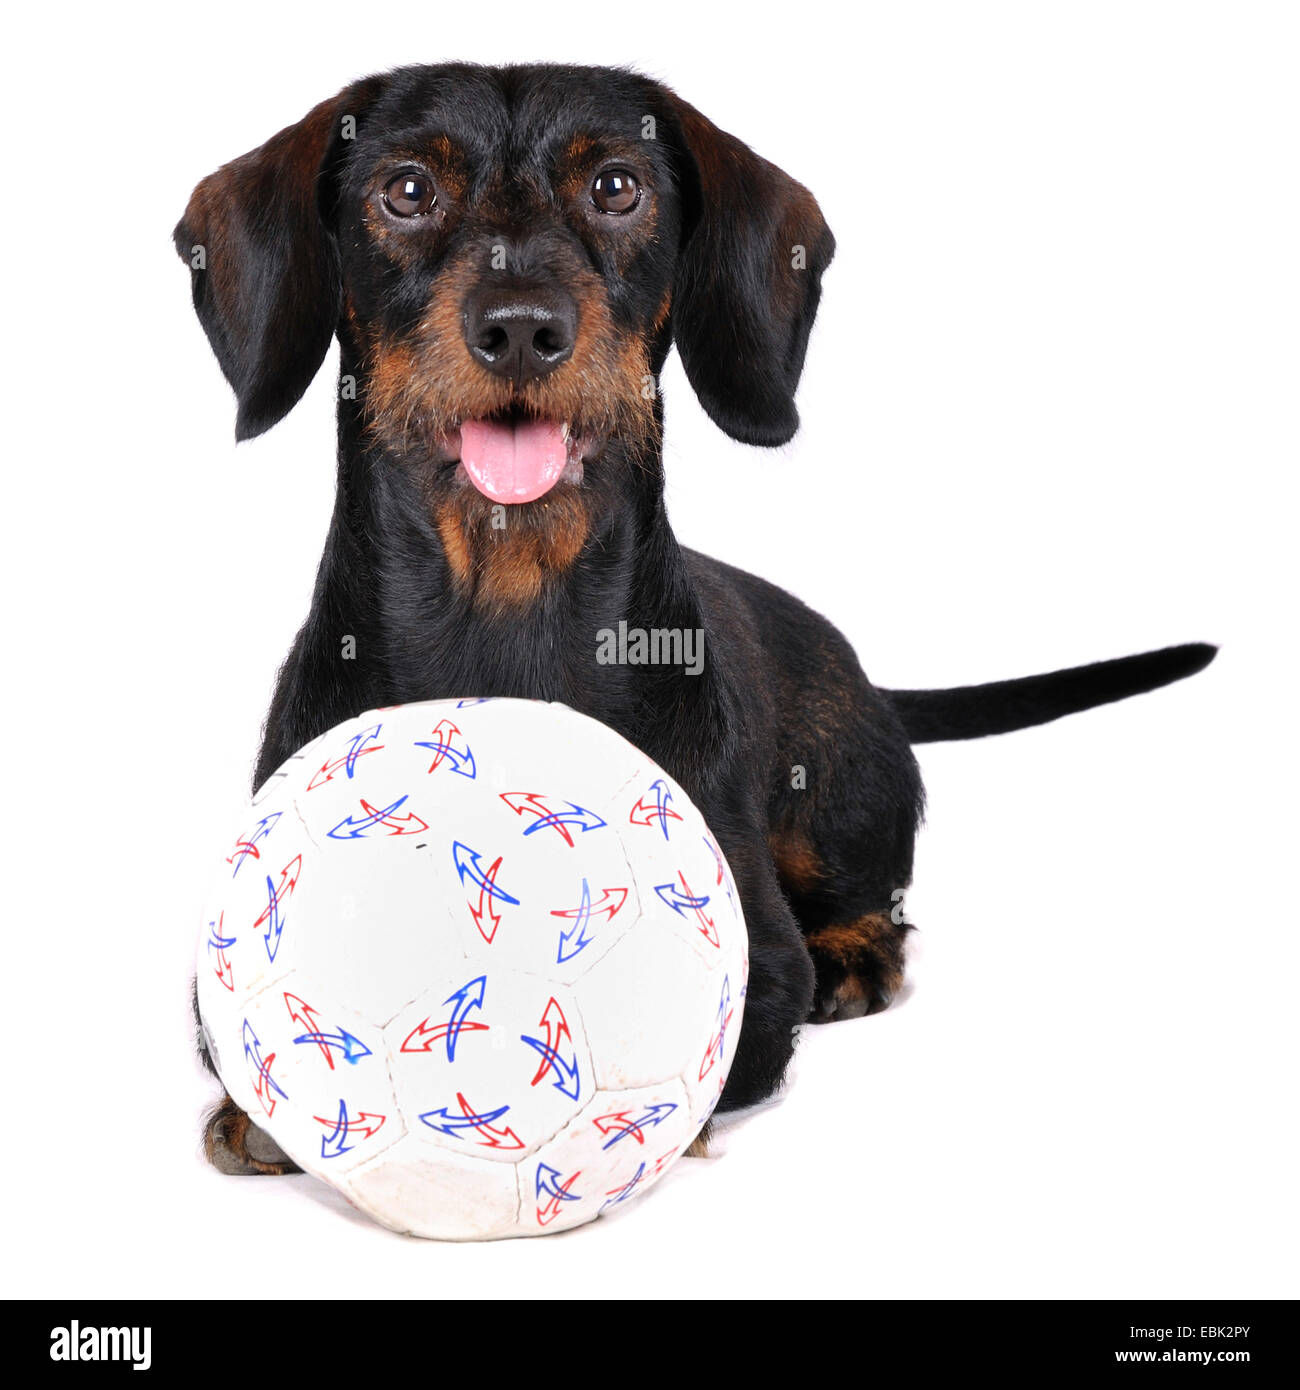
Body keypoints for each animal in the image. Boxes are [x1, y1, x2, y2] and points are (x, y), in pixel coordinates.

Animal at [177, 62, 1212, 1173]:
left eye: (617, 186)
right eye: (406, 190)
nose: (520, 325)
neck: (504, 610)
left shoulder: (762, 976)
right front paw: (265, 1110)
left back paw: (858, 951)